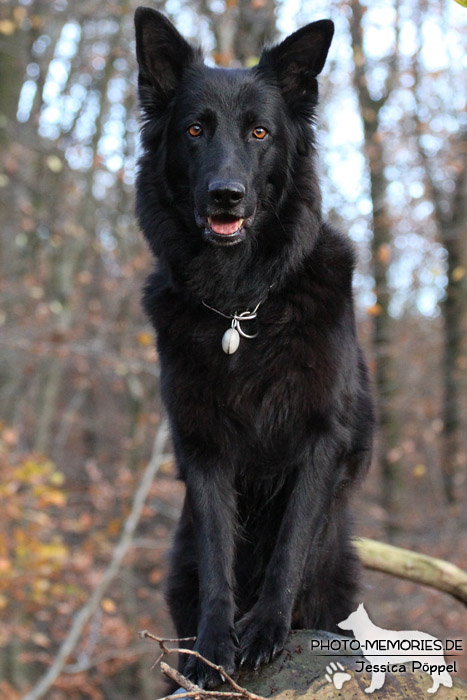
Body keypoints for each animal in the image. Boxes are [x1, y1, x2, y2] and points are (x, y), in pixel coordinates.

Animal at [133, 8, 374, 688]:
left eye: (260, 132)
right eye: (194, 129)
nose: (226, 194)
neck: (241, 304)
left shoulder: (321, 437)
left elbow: (289, 543)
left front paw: (265, 627)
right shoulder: (204, 446)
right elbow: (220, 552)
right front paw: (219, 642)